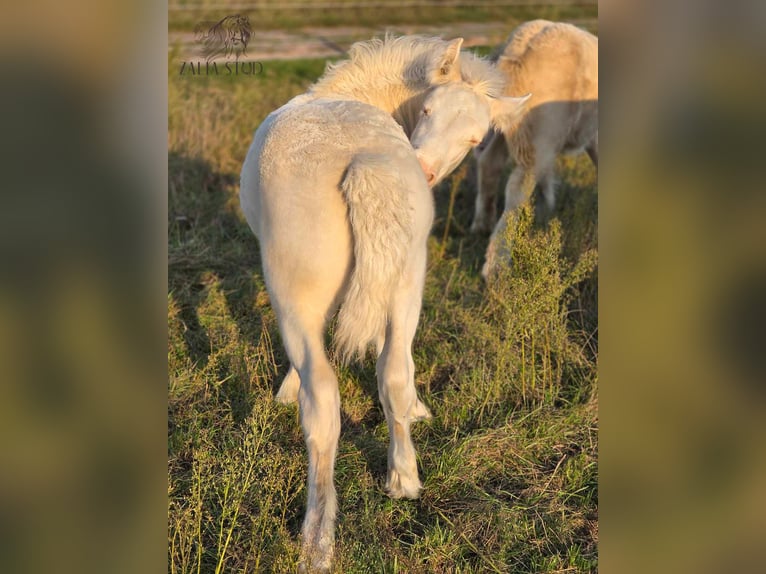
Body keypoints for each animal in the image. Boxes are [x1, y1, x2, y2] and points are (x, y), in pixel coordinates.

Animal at [240, 35, 528, 572]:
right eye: (428, 108)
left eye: (475, 139)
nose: (428, 170)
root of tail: (364, 164)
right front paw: (416, 409)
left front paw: (285, 390)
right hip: (408, 280)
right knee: (393, 369)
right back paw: (404, 479)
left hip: (295, 299)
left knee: (323, 403)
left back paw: (317, 539)